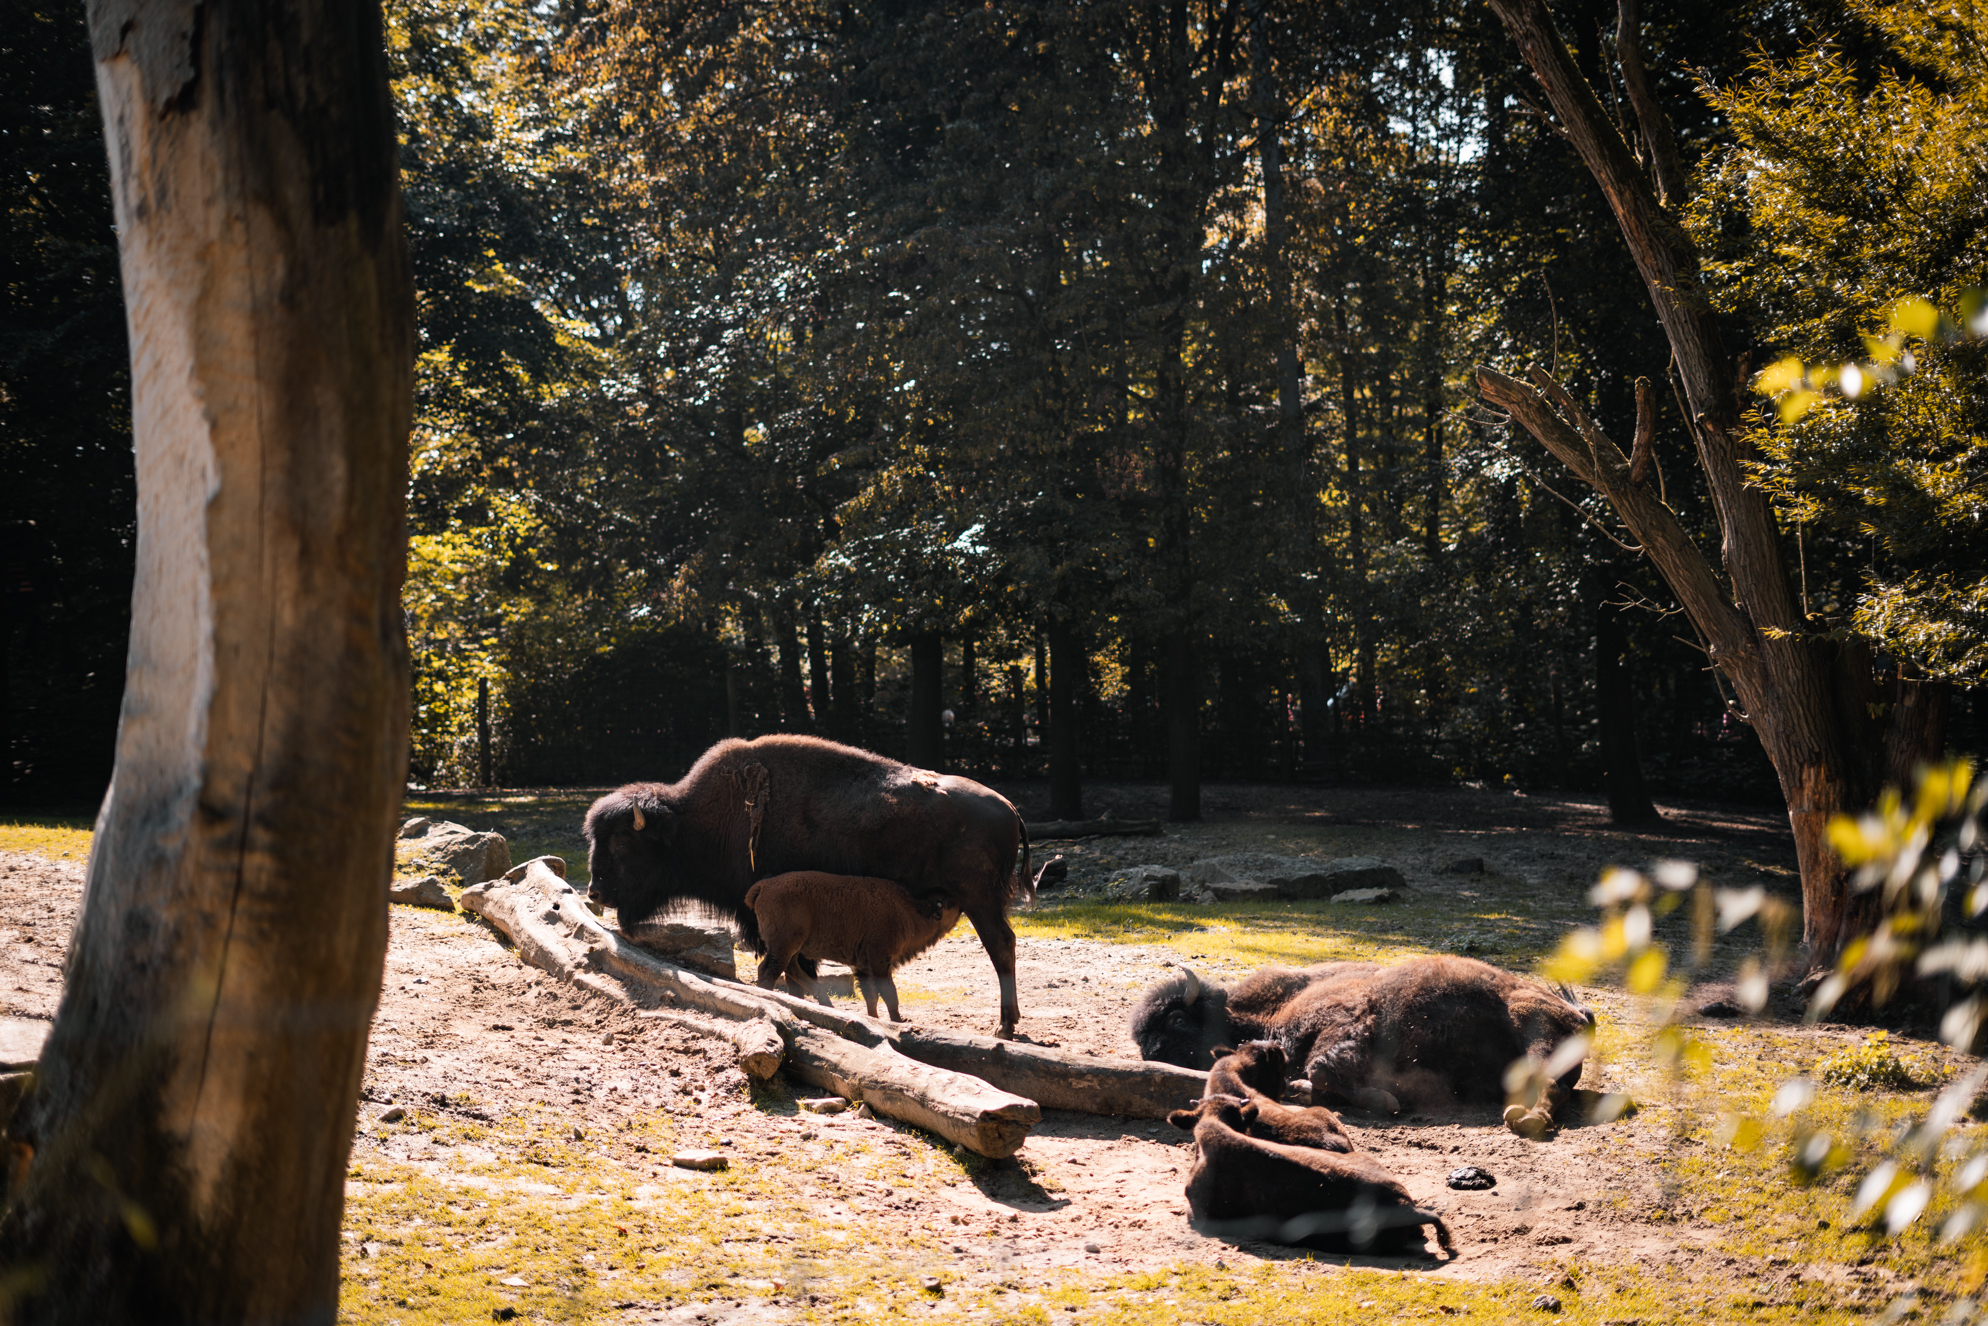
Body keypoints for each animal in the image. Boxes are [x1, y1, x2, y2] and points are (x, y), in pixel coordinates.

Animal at [744, 871, 960, 1022]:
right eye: (947, 903)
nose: (959, 903)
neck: (912, 911)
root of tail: (764, 885)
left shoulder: (862, 964)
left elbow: (871, 996)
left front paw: (874, 1019)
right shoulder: (879, 960)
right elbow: (888, 992)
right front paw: (898, 1021)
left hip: (791, 946)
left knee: (788, 968)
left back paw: (826, 1003)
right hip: (785, 944)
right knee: (771, 970)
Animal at [1131, 956, 1595, 1121]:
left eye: (1175, 1020)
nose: (1148, 1056)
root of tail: (1577, 1016)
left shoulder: (1347, 1027)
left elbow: (1323, 1069)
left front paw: (1385, 1100)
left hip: (1536, 1033)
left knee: (1549, 1085)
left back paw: (1526, 1117)